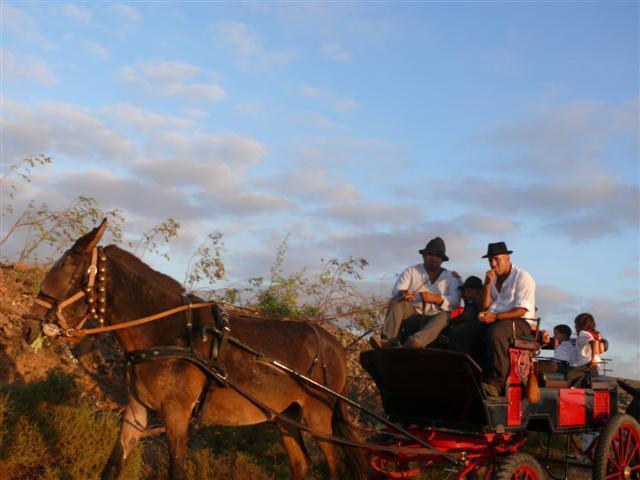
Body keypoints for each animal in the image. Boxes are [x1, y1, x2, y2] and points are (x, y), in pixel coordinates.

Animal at [23, 221, 364, 480]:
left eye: (63, 267)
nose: (28, 326)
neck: (166, 333)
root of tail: (334, 344)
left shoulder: (177, 415)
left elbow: (177, 470)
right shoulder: (136, 413)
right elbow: (113, 466)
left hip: (318, 417)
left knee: (334, 466)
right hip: (286, 417)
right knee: (300, 463)